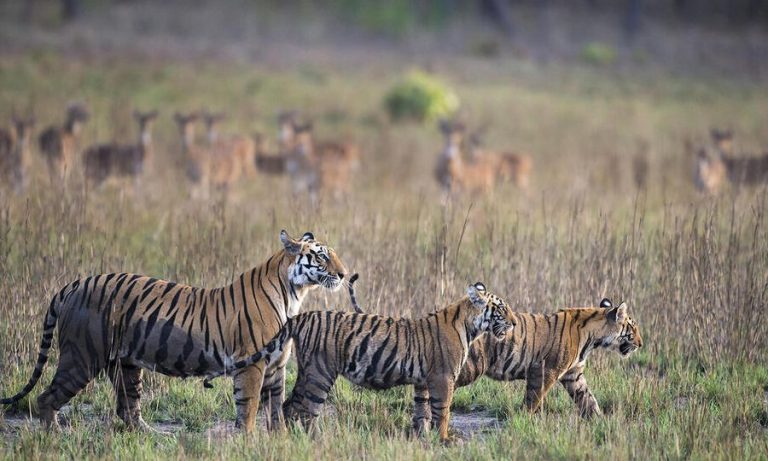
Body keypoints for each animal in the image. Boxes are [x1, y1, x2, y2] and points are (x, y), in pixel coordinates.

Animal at [1, 230, 349, 433]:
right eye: (321, 256)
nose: (345, 274)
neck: (294, 294)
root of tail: (73, 284)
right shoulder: (252, 363)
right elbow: (249, 407)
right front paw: (249, 441)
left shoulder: (276, 364)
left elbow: (275, 408)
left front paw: (279, 441)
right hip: (81, 358)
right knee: (46, 399)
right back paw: (55, 436)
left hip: (125, 366)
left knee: (127, 409)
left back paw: (150, 437)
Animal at [207, 282, 516, 442]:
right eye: (501, 308)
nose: (513, 323)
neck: (471, 326)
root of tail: (301, 315)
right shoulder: (442, 378)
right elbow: (443, 411)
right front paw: (444, 439)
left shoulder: (423, 382)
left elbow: (422, 411)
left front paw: (420, 437)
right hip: (320, 373)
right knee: (307, 409)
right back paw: (317, 440)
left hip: (308, 372)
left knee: (289, 405)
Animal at [454, 298, 642, 420]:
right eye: (633, 328)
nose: (641, 344)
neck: (594, 339)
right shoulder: (546, 370)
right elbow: (533, 398)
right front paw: (522, 420)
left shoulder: (574, 374)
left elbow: (588, 399)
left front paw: (599, 420)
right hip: (471, 366)